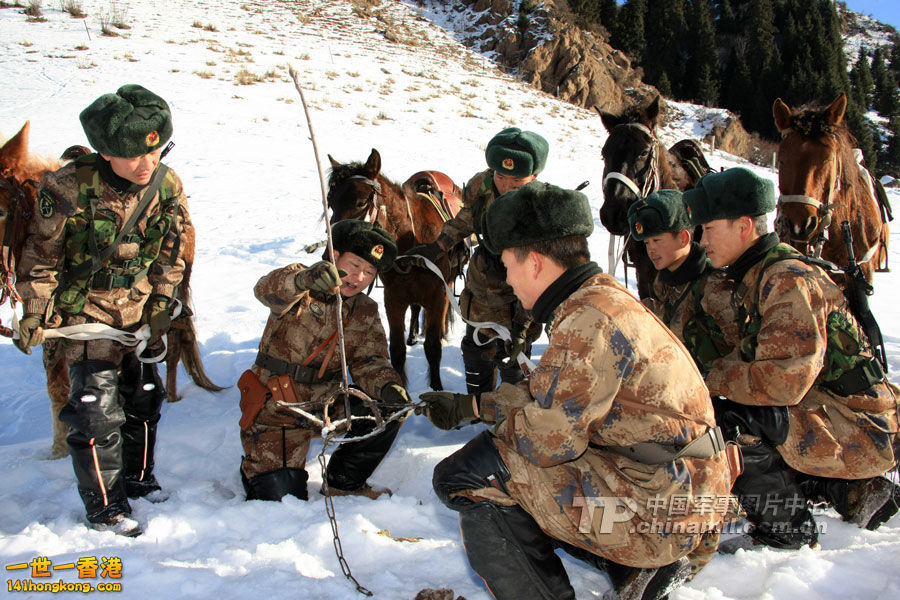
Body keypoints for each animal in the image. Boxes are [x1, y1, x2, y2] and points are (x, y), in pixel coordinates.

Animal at [0, 122, 224, 460]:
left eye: (2, 211)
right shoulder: (55, 331)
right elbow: (59, 387)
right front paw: (59, 449)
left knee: (176, 339)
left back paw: (171, 395)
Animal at [326, 148, 464, 392]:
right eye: (331, 203)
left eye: (361, 202)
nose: (330, 254)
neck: (411, 242)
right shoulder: (393, 298)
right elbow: (397, 350)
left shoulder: (437, 295)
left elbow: (432, 347)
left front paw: (436, 387)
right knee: (416, 309)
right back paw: (413, 335)